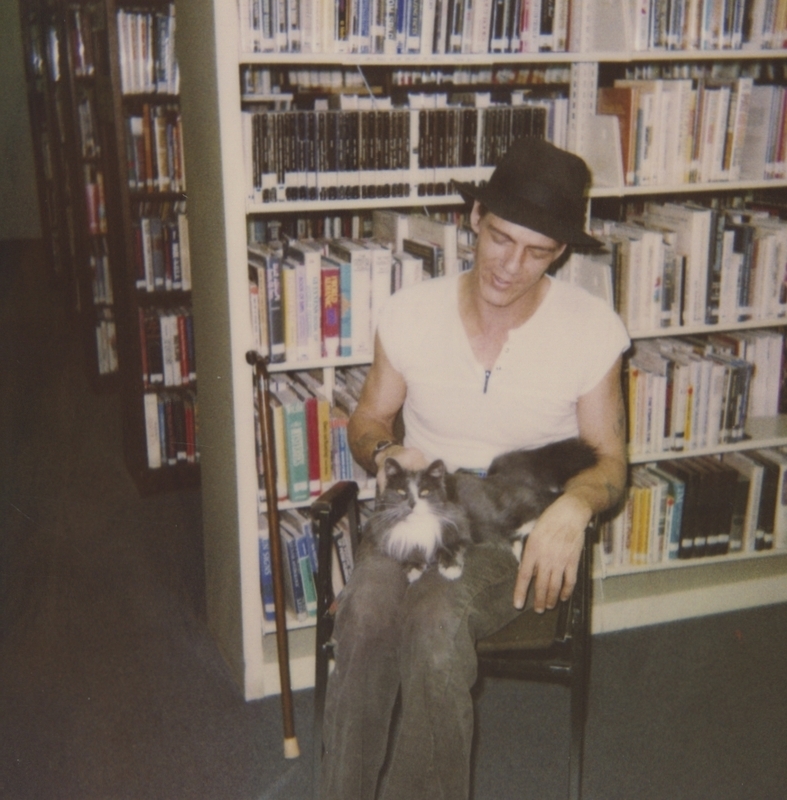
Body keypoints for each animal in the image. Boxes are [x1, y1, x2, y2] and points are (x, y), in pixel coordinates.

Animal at [366, 438, 600, 580]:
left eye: (424, 492)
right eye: (401, 492)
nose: (412, 504)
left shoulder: (458, 526)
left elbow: (448, 546)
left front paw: (450, 569)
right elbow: (410, 549)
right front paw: (413, 568)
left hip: (513, 509)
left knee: (547, 504)